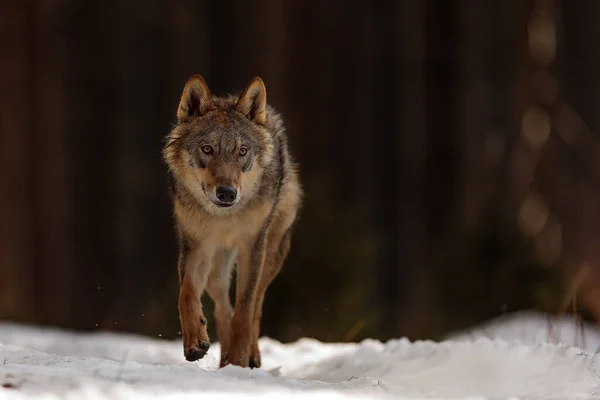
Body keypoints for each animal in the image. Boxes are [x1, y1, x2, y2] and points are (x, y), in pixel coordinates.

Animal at [162, 75, 302, 368]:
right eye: (207, 149)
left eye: (242, 151)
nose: (227, 193)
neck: (225, 217)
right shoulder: (196, 245)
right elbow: (186, 293)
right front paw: (195, 341)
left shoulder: (253, 245)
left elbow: (245, 310)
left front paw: (239, 360)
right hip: (216, 268)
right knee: (222, 307)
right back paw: (222, 357)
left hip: (271, 255)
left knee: (256, 305)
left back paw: (250, 357)